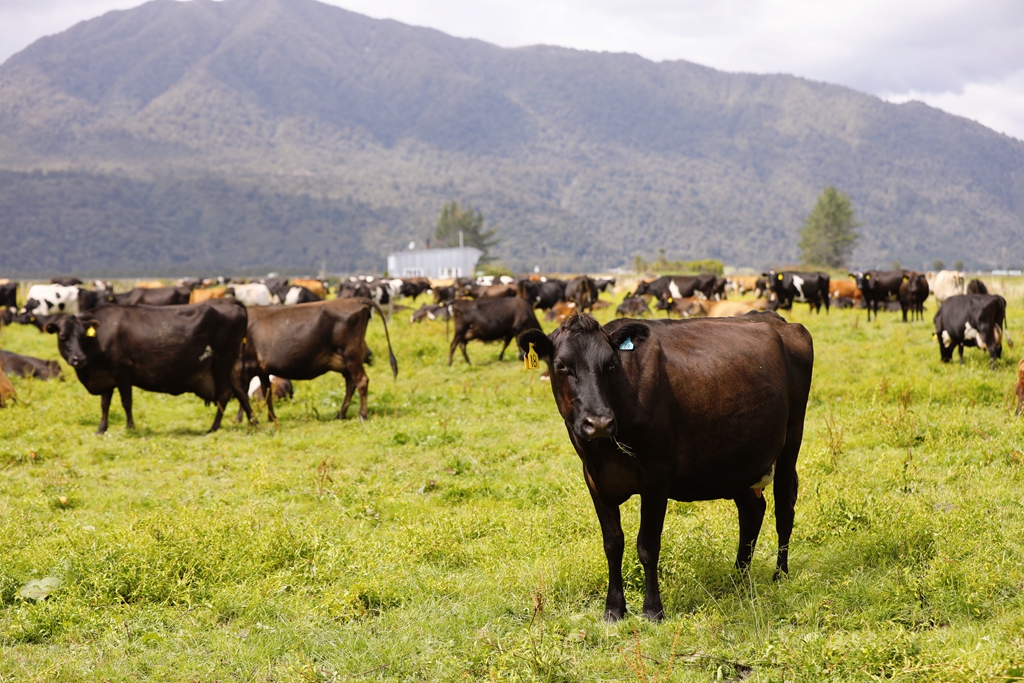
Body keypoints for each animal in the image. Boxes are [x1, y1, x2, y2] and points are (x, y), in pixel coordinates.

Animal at [46, 301, 256, 438]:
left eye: (83, 335)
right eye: (63, 336)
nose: (79, 359)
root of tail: (232, 303)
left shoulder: (122, 373)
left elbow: (126, 402)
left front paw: (130, 428)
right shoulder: (106, 377)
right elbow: (105, 405)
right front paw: (101, 429)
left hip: (222, 362)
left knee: (224, 395)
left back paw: (213, 427)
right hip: (227, 366)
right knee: (241, 393)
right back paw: (254, 421)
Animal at [520, 313, 815, 622]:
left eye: (610, 364)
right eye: (561, 366)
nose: (599, 422)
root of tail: (775, 318)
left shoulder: (656, 477)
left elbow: (647, 545)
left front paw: (652, 609)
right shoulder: (594, 479)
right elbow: (612, 544)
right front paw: (613, 608)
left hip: (790, 442)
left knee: (784, 511)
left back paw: (780, 575)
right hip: (736, 461)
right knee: (752, 512)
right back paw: (738, 576)